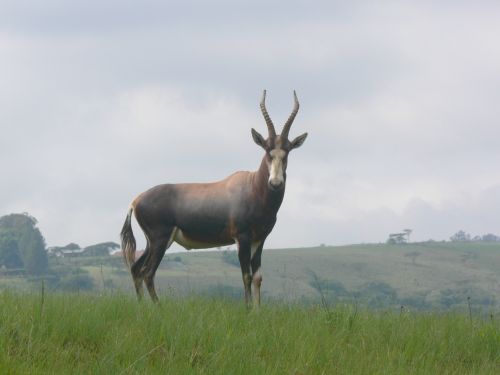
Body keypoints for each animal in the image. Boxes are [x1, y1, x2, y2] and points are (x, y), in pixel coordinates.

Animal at [122, 90, 308, 306]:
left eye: (286, 153)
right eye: (267, 152)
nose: (275, 183)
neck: (252, 186)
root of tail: (136, 200)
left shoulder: (259, 240)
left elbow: (258, 277)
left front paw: (257, 310)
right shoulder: (242, 238)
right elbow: (246, 276)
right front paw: (247, 309)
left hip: (153, 242)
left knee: (136, 269)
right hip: (160, 239)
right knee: (148, 273)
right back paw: (158, 307)